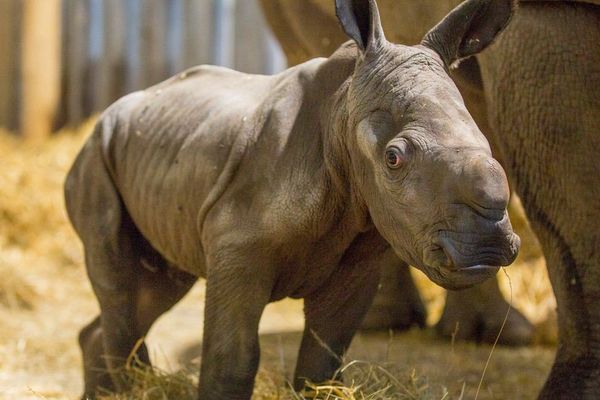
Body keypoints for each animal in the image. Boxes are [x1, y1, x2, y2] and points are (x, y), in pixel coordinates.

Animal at [65, 0, 520, 400]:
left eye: (488, 143)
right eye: (393, 159)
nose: (487, 245)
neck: (340, 117)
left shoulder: (357, 264)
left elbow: (322, 360)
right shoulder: (237, 248)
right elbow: (232, 360)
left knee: (154, 288)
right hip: (96, 154)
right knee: (121, 287)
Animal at [264, 0, 600, 396]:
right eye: (394, 158)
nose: (490, 247)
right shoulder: (554, 10)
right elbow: (582, 223)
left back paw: (487, 334)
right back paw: (387, 324)